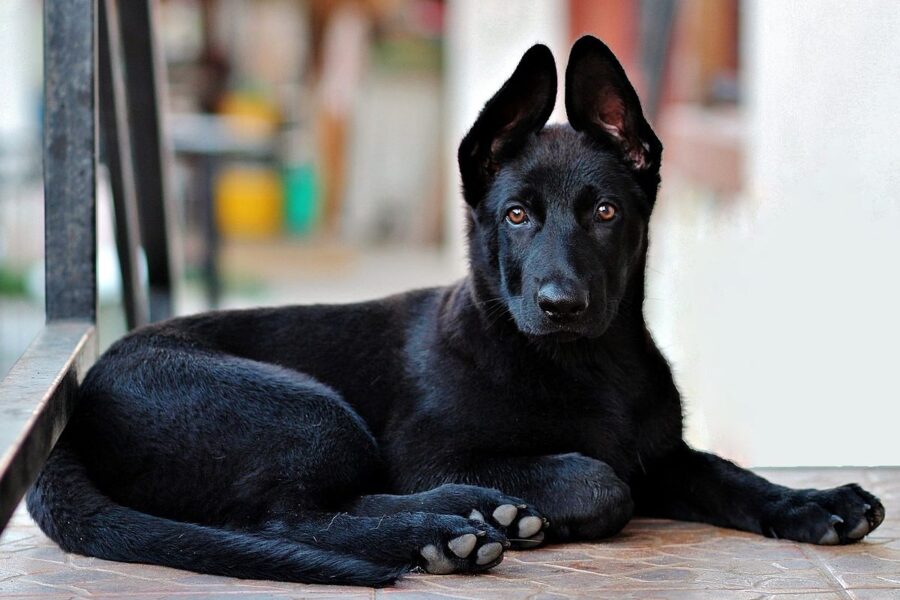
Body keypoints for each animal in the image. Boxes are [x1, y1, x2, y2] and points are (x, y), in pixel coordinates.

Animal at [24, 36, 884, 584]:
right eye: (516, 215)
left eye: (606, 213)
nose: (561, 304)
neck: (586, 363)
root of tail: (79, 405)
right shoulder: (427, 449)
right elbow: (599, 479)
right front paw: (547, 505)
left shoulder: (663, 453)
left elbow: (726, 474)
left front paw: (813, 504)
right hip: (311, 410)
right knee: (282, 518)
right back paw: (448, 531)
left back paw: (477, 518)